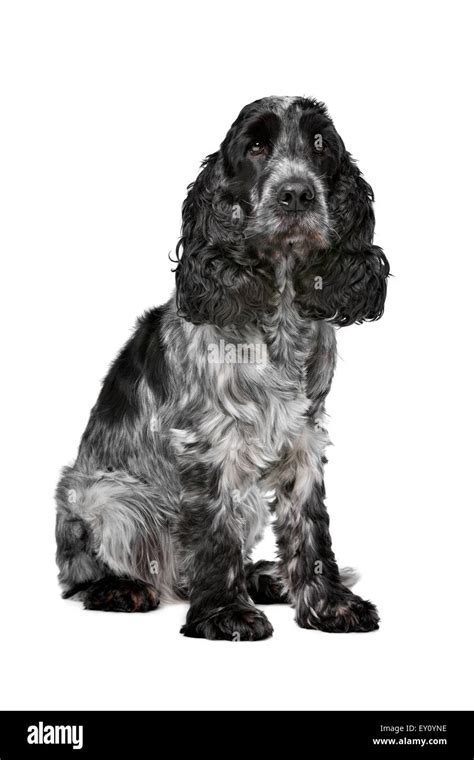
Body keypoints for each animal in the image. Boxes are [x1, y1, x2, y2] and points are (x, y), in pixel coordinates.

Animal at [55, 96, 388, 640]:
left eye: (321, 146)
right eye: (255, 147)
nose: (297, 194)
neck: (279, 312)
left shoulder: (305, 436)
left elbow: (311, 529)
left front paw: (330, 605)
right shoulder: (210, 441)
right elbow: (215, 530)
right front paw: (224, 613)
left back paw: (263, 578)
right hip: (104, 495)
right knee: (83, 572)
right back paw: (123, 588)